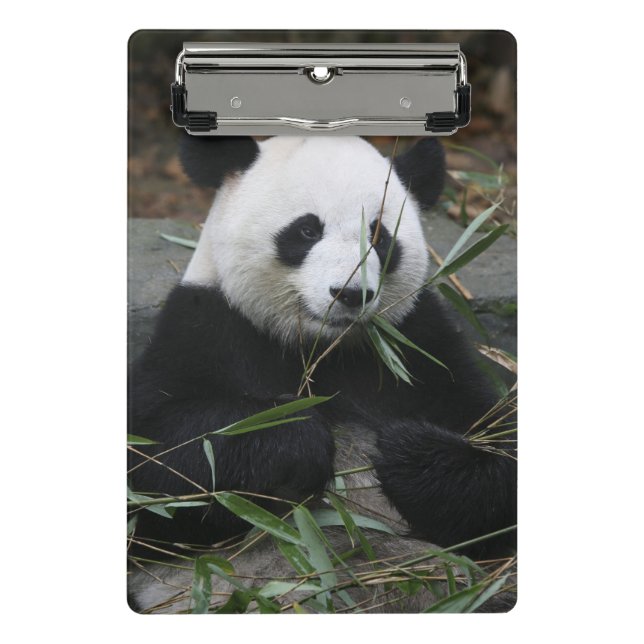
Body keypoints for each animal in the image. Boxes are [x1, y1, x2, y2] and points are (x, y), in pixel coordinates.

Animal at [128, 135, 516, 592]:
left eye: (379, 236)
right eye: (307, 230)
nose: (349, 294)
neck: (320, 348)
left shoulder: (419, 345)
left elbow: (498, 445)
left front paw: (408, 453)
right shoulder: (205, 326)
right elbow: (158, 461)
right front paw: (296, 437)